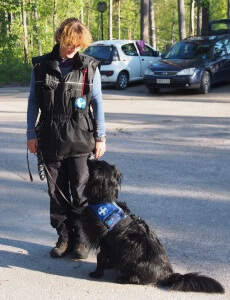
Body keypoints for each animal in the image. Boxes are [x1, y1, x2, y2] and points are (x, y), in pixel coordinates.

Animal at [80, 159, 224, 292]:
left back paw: (123, 278)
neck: (104, 201)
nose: (90, 157)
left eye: (96, 164)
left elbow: (100, 257)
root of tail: (167, 275)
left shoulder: (104, 242)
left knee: (136, 279)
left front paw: (96, 273)